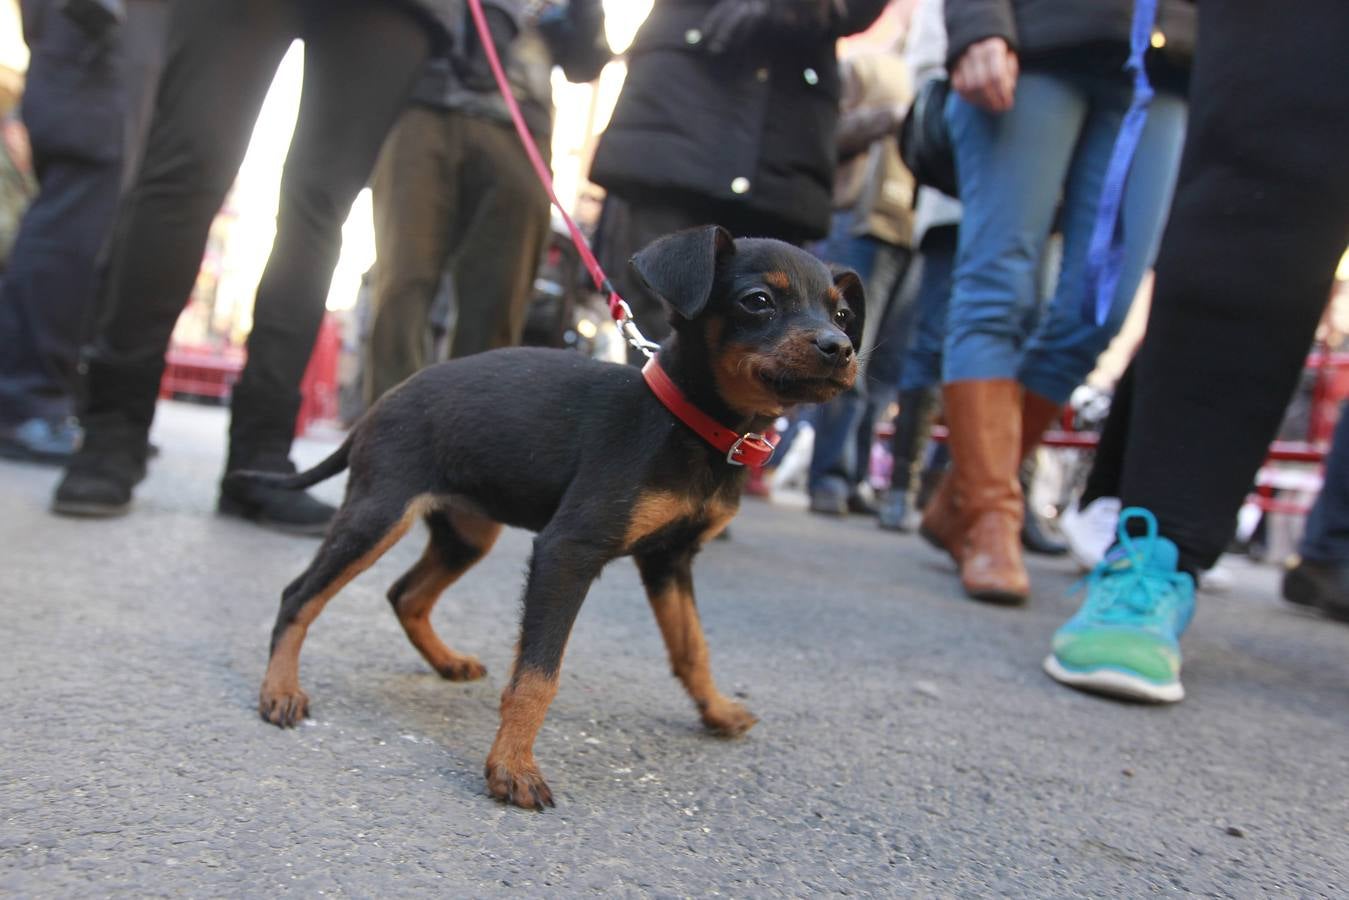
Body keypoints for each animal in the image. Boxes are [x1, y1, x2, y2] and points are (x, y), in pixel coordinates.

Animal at [237, 225, 868, 809]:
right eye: (757, 300)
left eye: (841, 313)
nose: (840, 348)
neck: (689, 425)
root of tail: (381, 403)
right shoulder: (568, 551)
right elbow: (538, 675)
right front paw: (513, 766)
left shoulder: (670, 560)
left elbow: (693, 646)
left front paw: (715, 710)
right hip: (378, 513)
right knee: (300, 595)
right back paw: (280, 690)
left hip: (469, 531)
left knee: (405, 594)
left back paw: (446, 663)